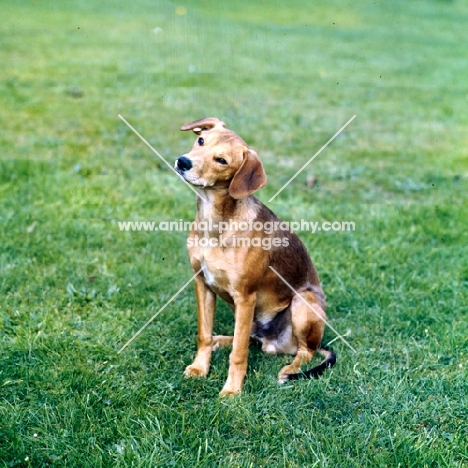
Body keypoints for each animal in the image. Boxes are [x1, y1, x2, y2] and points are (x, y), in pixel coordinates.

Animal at [176, 117, 336, 394]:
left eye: (222, 161)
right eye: (201, 141)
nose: (183, 162)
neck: (215, 225)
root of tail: (272, 341)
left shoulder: (245, 296)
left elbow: (239, 353)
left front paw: (232, 390)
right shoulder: (202, 284)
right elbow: (203, 335)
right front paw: (199, 368)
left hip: (301, 303)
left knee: (306, 351)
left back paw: (290, 370)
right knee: (248, 339)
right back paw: (221, 340)